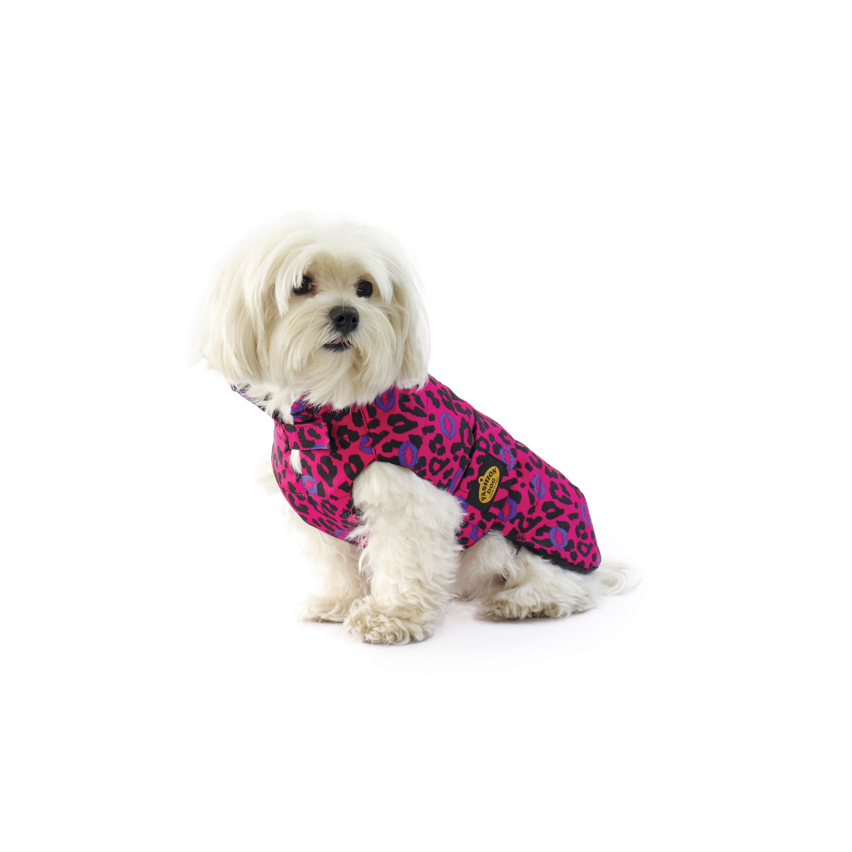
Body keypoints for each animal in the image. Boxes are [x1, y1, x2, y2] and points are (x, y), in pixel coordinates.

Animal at [200, 213, 637, 644]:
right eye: (302, 285)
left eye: (365, 288)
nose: (347, 314)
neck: (330, 407)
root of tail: (597, 562)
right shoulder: (315, 513)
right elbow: (336, 564)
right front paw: (338, 602)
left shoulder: (409, 501)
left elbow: (404, 562)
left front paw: (391, 617)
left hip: (517, 544)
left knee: (571, 589)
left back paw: (518, 603)